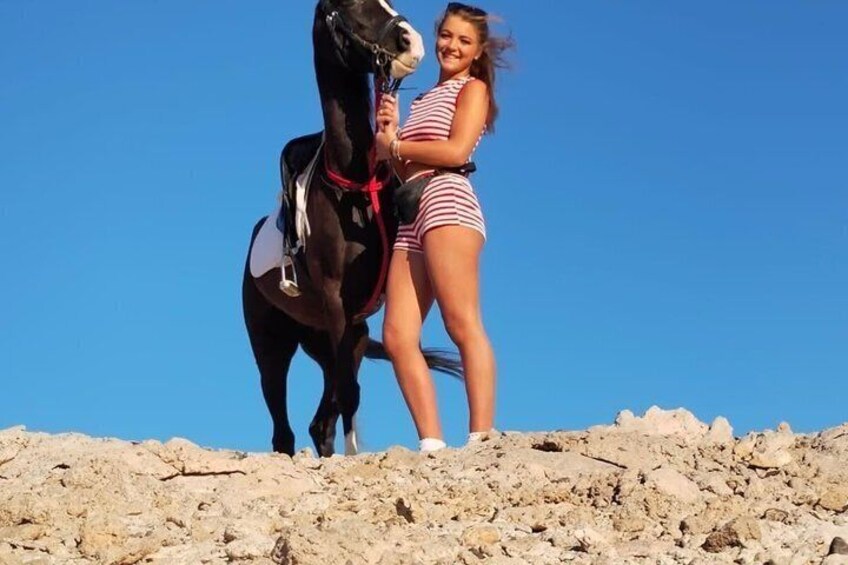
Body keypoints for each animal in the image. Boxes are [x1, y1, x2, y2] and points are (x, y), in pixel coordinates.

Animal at [242, 0, 462, 457]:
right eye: (347, 6)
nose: (411, 43)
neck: (354, 181)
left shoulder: (353, 323)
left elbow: (350, 395)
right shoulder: (334, 300)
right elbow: (349, 396)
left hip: (332, 340)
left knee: (321, 420)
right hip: (272, 346)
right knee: (284, 430)